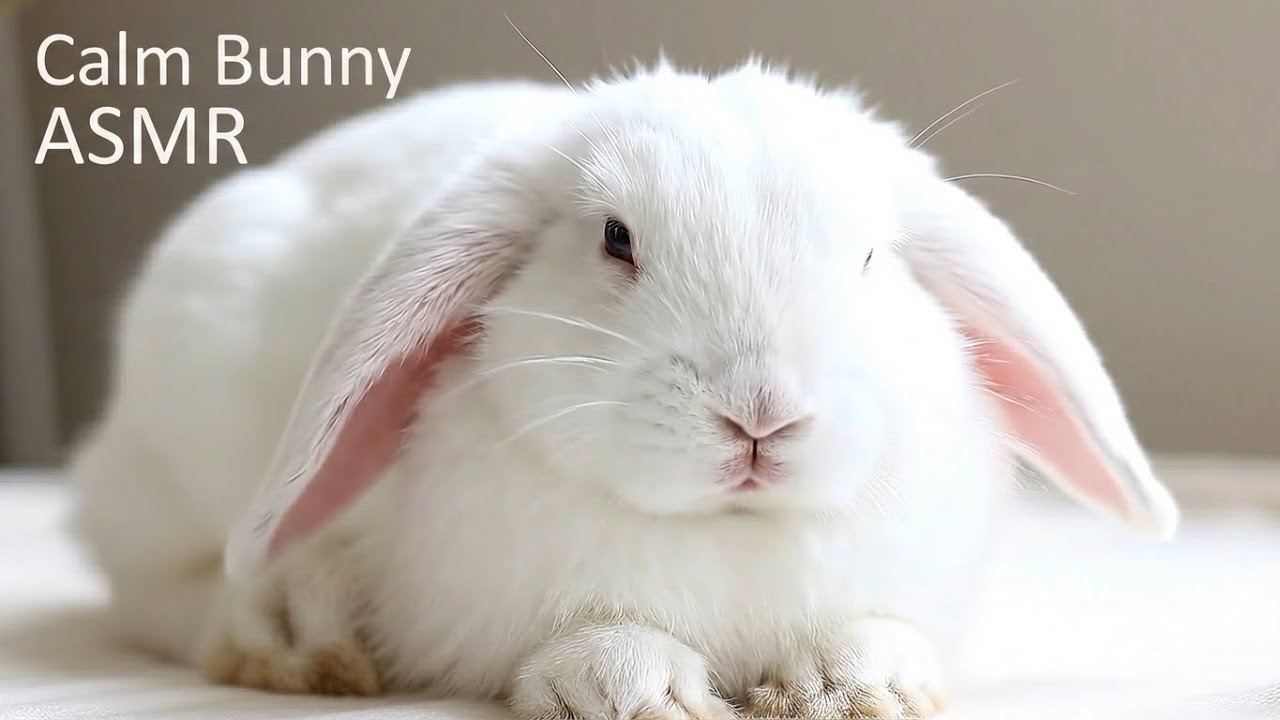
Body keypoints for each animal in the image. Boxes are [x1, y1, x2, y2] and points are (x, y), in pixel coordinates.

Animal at [69, 58, 1179, 720]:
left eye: (869, 257)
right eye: (615, 239)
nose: (762, 413)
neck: (729, 532)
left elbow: (873, 629)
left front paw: (854, 687)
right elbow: (588, 640)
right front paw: (641, 692)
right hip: (170, 473)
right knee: (171, 594)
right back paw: (293, 641)